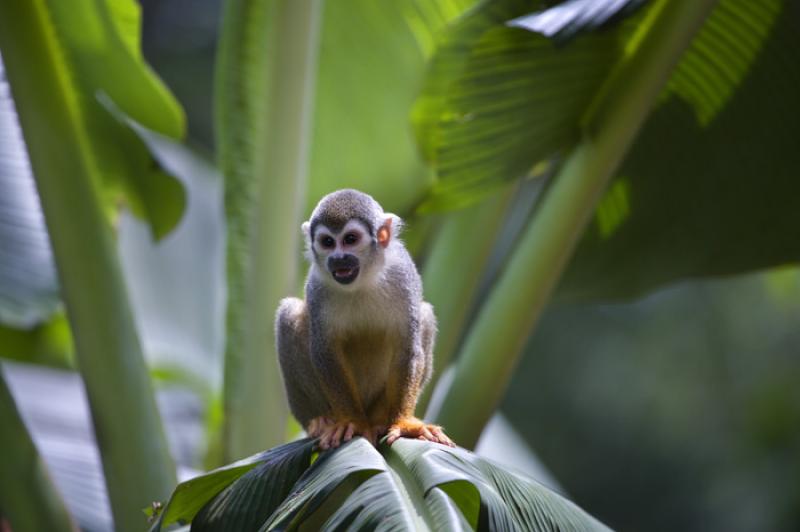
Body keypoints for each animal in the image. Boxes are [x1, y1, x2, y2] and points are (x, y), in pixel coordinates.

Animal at [276, 188, 454, 448]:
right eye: (328, 242)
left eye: (350, 239)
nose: (338, 258)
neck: (362, 279)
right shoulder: (317, 287)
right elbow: (325, 351)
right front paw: (353, 422)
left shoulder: (403, 274)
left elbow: (407, 349)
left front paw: (403, 423)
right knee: (287, 314)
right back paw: (323, 421)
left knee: (427, 317)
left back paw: (380, 420)